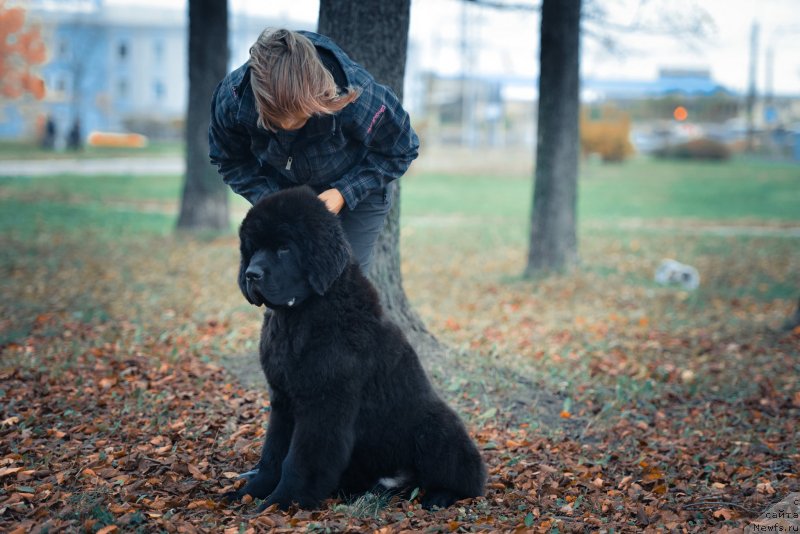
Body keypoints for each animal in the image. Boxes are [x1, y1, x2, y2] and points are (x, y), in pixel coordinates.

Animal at [227, 186, 488, 512]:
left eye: (284, 248)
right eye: (253, 248)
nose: (251, 274)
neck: (297, 319)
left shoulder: (324, 405)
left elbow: (298, 459)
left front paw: (283, 501)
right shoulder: (283, 399)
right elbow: (273, 452)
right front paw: (251, 491)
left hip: (435, 427)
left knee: (469, 479)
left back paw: (440, 496)